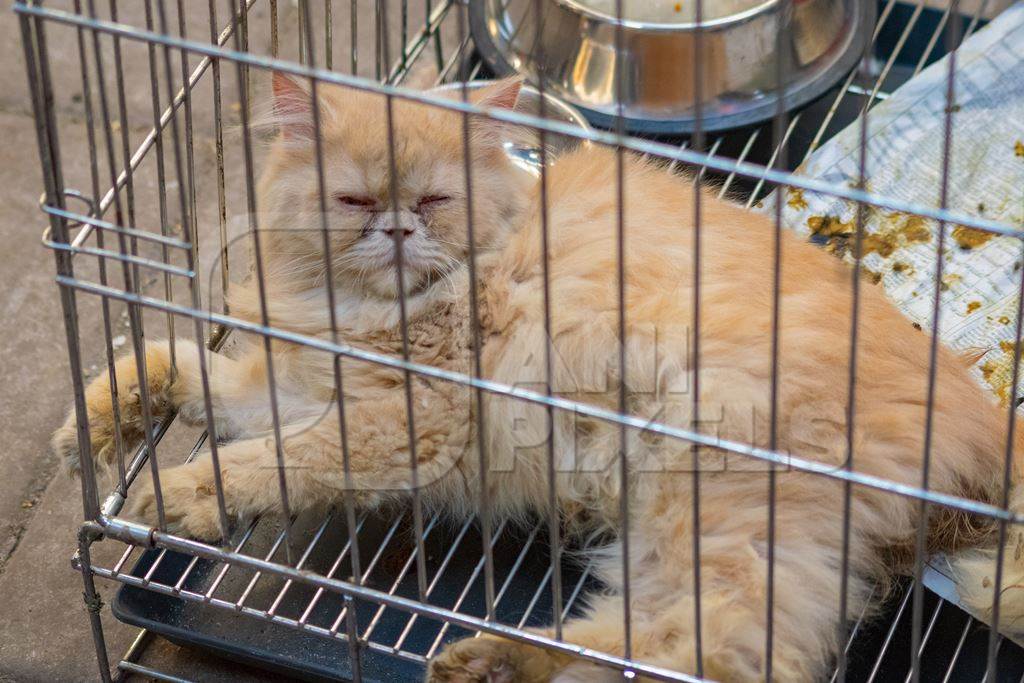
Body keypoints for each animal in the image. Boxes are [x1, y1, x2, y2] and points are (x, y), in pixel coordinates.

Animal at [54, 77, 1024, 679]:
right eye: (356, 202)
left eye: (434, 201)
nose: (397, 230)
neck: (359, 310)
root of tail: (980, 422)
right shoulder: (298, 385)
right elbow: (175, 369)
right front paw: (95, 429)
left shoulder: (406, 422)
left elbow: (267, 459)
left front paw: (177, 497)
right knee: (677, 641)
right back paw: (493, 659)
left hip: (712, 500)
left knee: (718, 652)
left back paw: (492, 661)